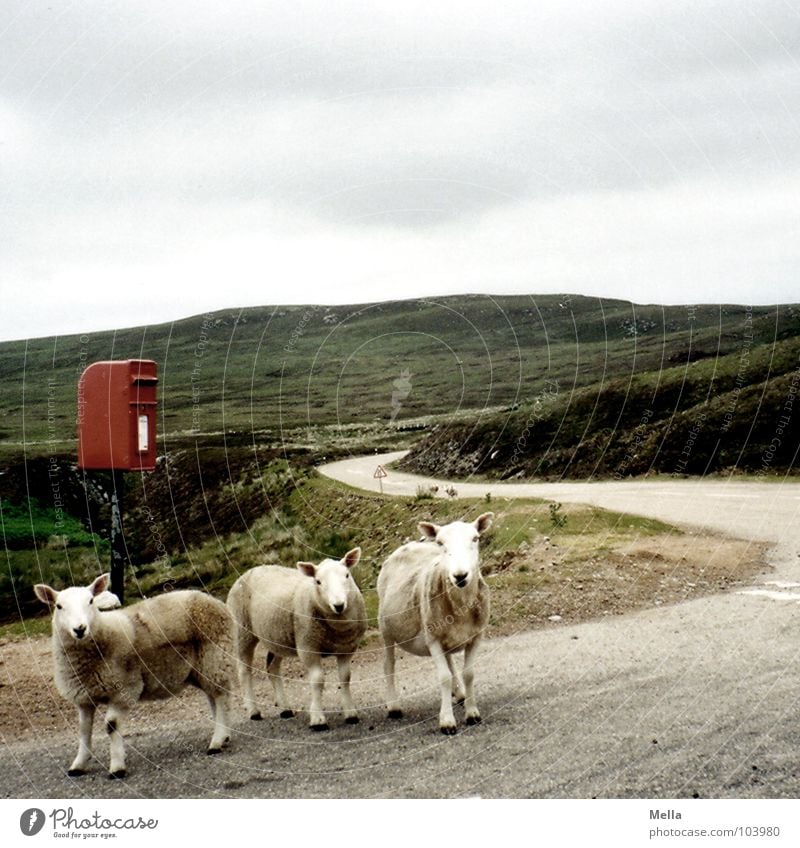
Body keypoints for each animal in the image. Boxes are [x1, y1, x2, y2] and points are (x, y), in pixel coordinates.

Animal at [35, 572, 234, 780]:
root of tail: (212, 599)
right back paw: (224, 735)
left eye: (91, 601)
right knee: (214, 697)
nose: (80, 629)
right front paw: (78, 764)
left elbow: (111, 725)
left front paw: (117, 767)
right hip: (201, 668)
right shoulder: (84, 698)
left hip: (215, 657)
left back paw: (217, 741)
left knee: (221, 696)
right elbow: (84, 729)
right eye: (58, 606)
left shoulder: (124, 689)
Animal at [228, 548, 366, 728]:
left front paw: (350, 713)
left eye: (347, 575)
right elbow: (317, 680)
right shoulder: (307, 646)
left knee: (272, 667)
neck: (336, 625)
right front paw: (318, 719)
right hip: (242, 630)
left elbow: (345, 678)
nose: (339, 605)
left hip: (277, 636)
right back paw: (254, 711)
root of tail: (249, 570)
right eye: (318, 581)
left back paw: (285, 708)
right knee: (244, 671)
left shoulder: (346, 648)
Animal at [376, 512, 494, 732]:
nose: (460, 576)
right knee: (389, 664)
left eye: (475, 538)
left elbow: (469, 673)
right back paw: (393, 706)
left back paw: (460, 694)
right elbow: (444, 677)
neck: (460, 605)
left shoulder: (476, 636)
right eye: (440, 543)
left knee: (450, 662)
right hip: (385, 628)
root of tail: (407, 545)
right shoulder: (433, 639)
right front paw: (447, 721)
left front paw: (472, 713)